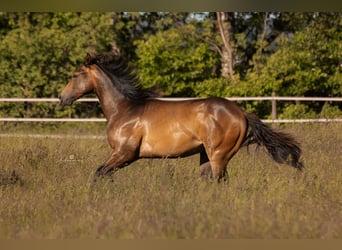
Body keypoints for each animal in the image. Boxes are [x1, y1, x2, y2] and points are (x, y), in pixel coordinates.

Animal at [58, 52, 302, 182]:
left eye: (75, 75)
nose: (62, 97)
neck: (124, 109)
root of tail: (241, 113)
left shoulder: (124, 154)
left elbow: (99, 173)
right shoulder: (122, 156)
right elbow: (104, 174)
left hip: (219, 155)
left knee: (220, 181)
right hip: (206, 155)